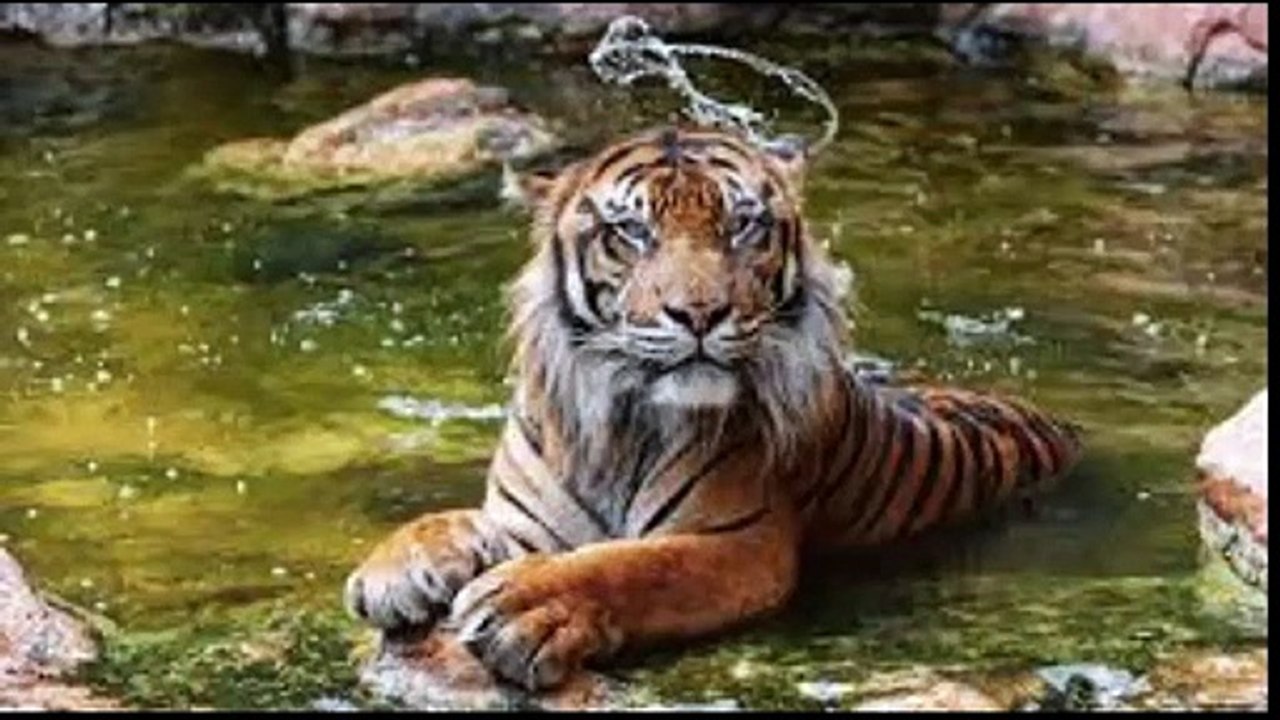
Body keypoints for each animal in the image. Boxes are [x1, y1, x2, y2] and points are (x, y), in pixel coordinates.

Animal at [344, 125, 1083, 692]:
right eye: (631, 231)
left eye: (744, 226)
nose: (700, 313)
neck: (621, 424)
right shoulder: (522, 522)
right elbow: (448, 521)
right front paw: (395, 570)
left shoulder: (743, 542)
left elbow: (635, 566)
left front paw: (525, 605)